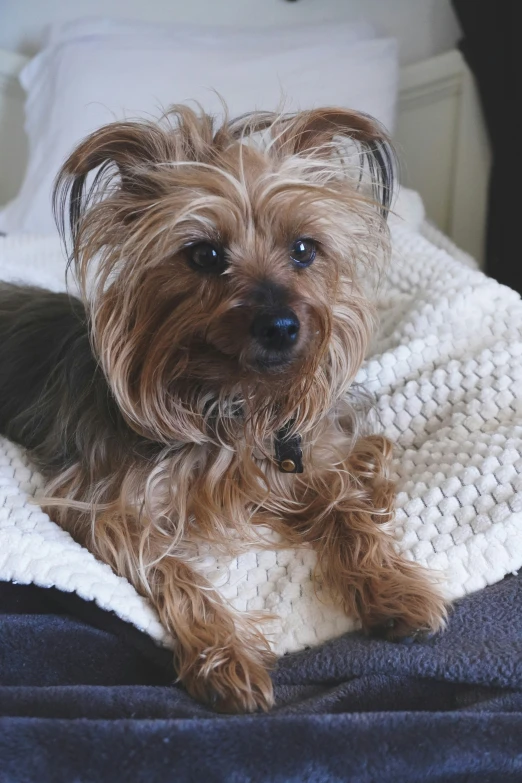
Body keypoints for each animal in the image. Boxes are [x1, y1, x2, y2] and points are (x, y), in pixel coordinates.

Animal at [1, 107, 442, 712]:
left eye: (304, 249)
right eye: (205, 255)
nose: (280, 325)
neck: (239, 402)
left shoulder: (322, 454)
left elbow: (349, 505)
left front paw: (392, 589)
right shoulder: (103, 504)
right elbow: (165, 567)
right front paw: (226, 656)